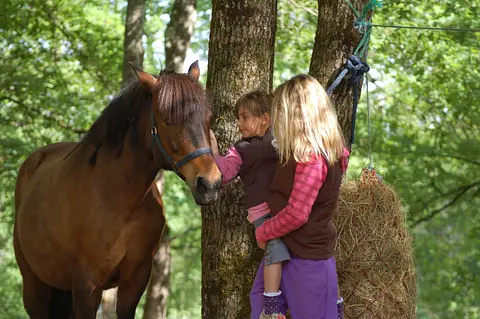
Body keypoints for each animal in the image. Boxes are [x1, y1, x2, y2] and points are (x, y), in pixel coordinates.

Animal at [12, 61, 219, 318]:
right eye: (167, 119)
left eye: (208, 118)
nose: (209, 184)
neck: (120, 199)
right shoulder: (87, 284)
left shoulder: (135, 280)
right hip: (35, 286)